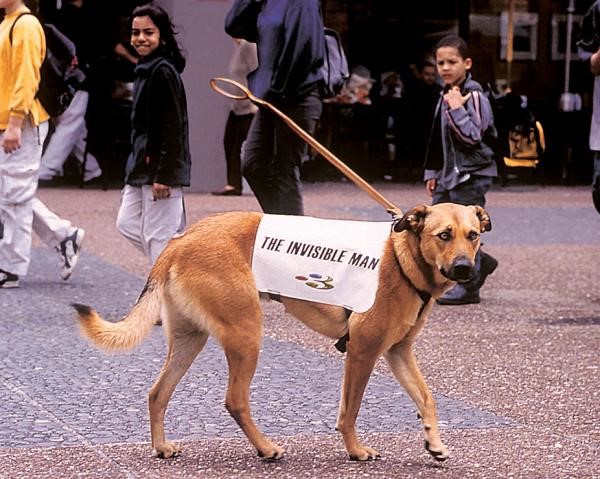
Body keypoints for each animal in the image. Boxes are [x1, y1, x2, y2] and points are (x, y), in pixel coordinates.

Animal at [72, 203, 490, 464]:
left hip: (191, 340)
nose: (465, 269)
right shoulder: (363, 352)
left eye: (472, 235)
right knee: (235, 400)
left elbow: (427, 398)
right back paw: (265, 448)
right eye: (443, 235)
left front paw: (434, 443)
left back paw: (161, 448)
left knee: (158, 393)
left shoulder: (398, 352)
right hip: (246, 334)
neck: (404, 259)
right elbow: (350, 411)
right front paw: (355, 451)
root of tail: (178, 242)